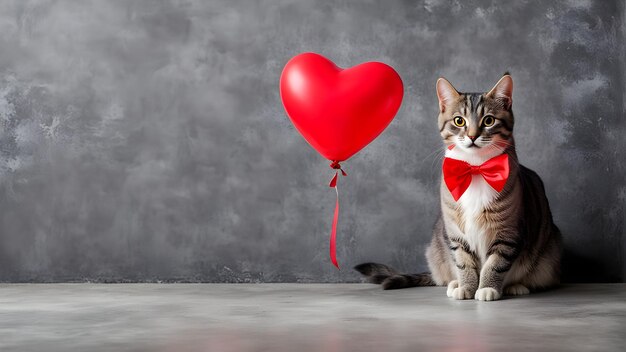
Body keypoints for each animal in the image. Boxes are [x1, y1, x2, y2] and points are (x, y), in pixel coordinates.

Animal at [356, 73, 560, 300]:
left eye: (488, 120)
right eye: (459, 121)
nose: (472, 136)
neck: (475, 169)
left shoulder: (508, 233)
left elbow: (495, 264)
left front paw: (487, 288)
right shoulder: (455, 234)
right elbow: (464, 262)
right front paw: (467, 287)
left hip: (548, 255)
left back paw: (516, 286)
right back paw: (454, 283)